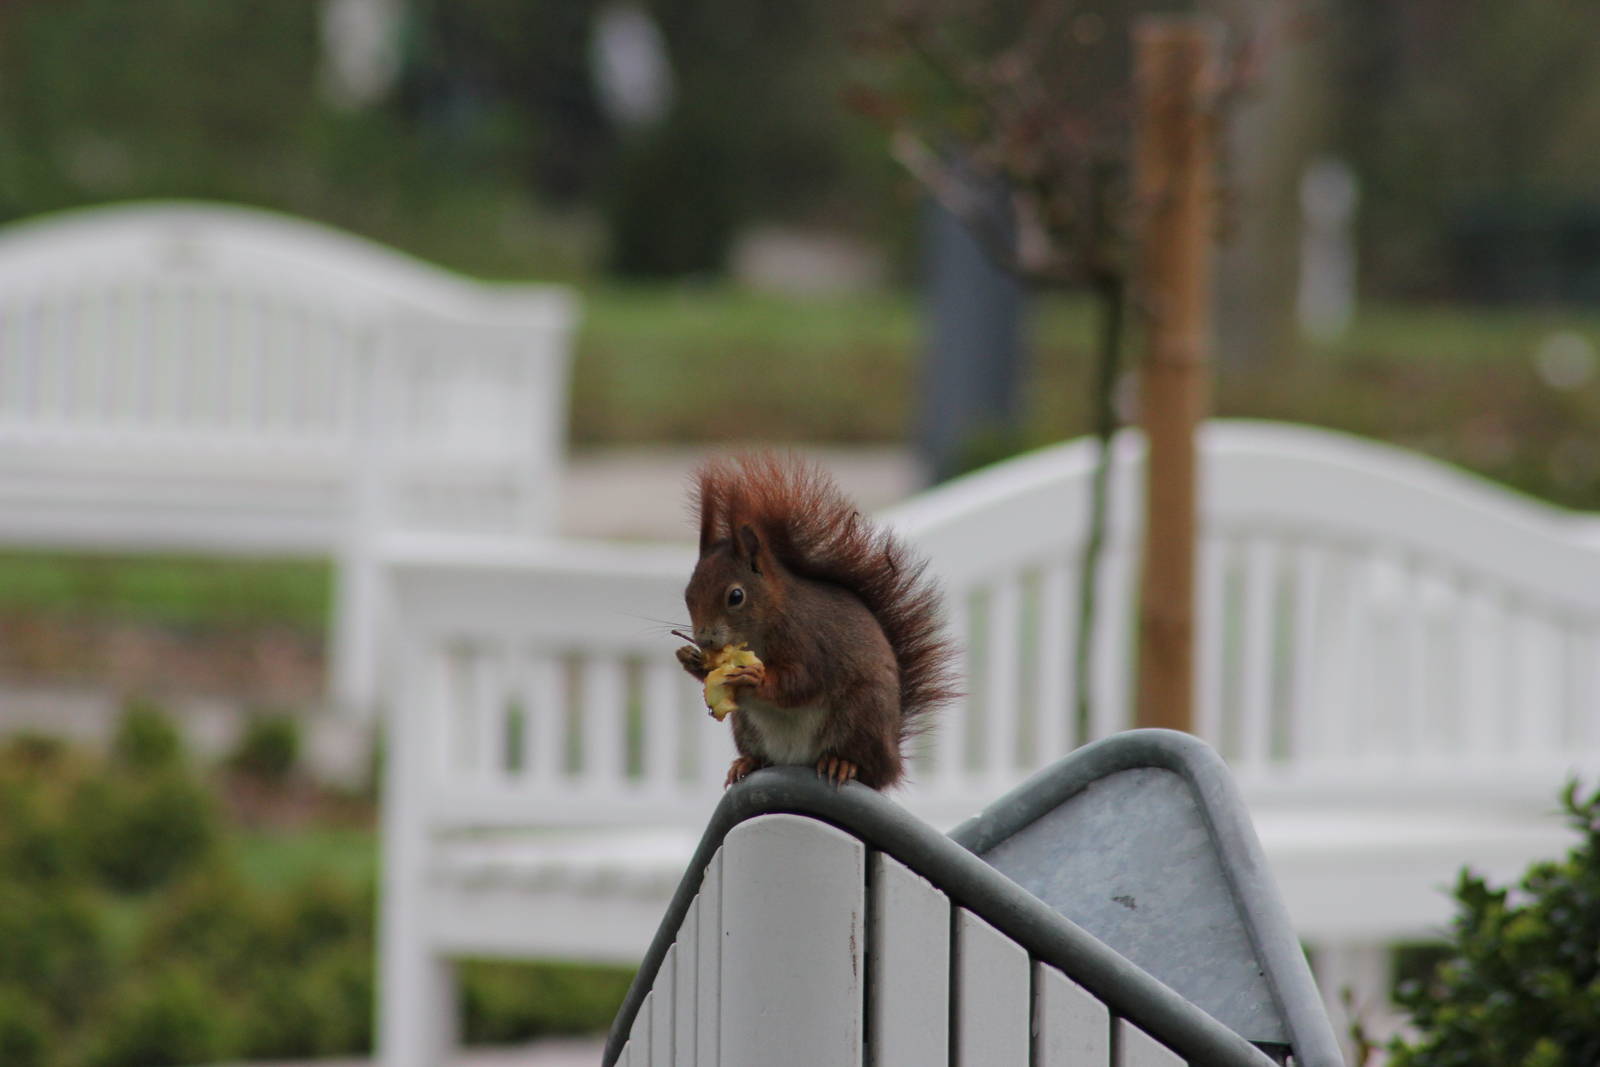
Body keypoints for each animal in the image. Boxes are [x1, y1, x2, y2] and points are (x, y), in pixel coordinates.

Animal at [675, 453, 958, 790]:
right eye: (688, 594)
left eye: (735, 596)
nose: (704, 639)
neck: (766, 621)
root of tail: (892, 755)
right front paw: (691, 659)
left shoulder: (809, 641)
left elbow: (802, 681)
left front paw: (756, 678)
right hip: (744, 725)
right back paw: (748, 761)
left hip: (863, 711)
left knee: (866, 766)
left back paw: (842, 764)